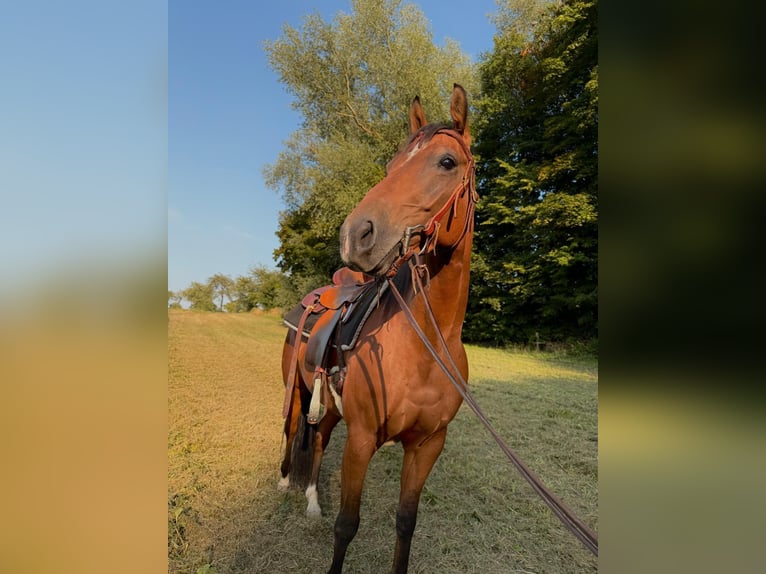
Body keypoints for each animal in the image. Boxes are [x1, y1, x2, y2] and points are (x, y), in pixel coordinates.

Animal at [278, 83, 477, 574]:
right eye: (390, 166)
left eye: (447, 162)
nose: (356, 234)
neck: (428, 345)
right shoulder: (363, 440)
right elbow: (347, 525)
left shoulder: (427, 445)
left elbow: (406, 522)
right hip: (296, 390)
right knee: (293, 429)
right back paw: (285, 483)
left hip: (328, 407)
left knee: (319, 439)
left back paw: (313, 502)